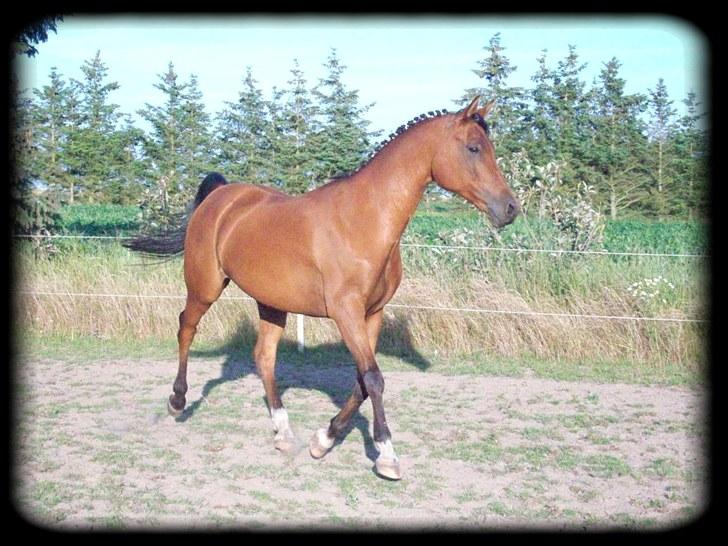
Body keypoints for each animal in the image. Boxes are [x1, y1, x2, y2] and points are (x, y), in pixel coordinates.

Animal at [125, 96, 520, 480]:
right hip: (204, 287)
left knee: (264, 357)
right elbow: (373, 378)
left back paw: (284, 433)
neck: (363, 221)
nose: (510, 208)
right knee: (186, 328)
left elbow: (362, 381)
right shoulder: (346, 314)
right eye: (473, 148)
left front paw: (323, 440)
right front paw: (386, 457)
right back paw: (177, 402)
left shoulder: (372, 314)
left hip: (272, 303)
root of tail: (221, 197)